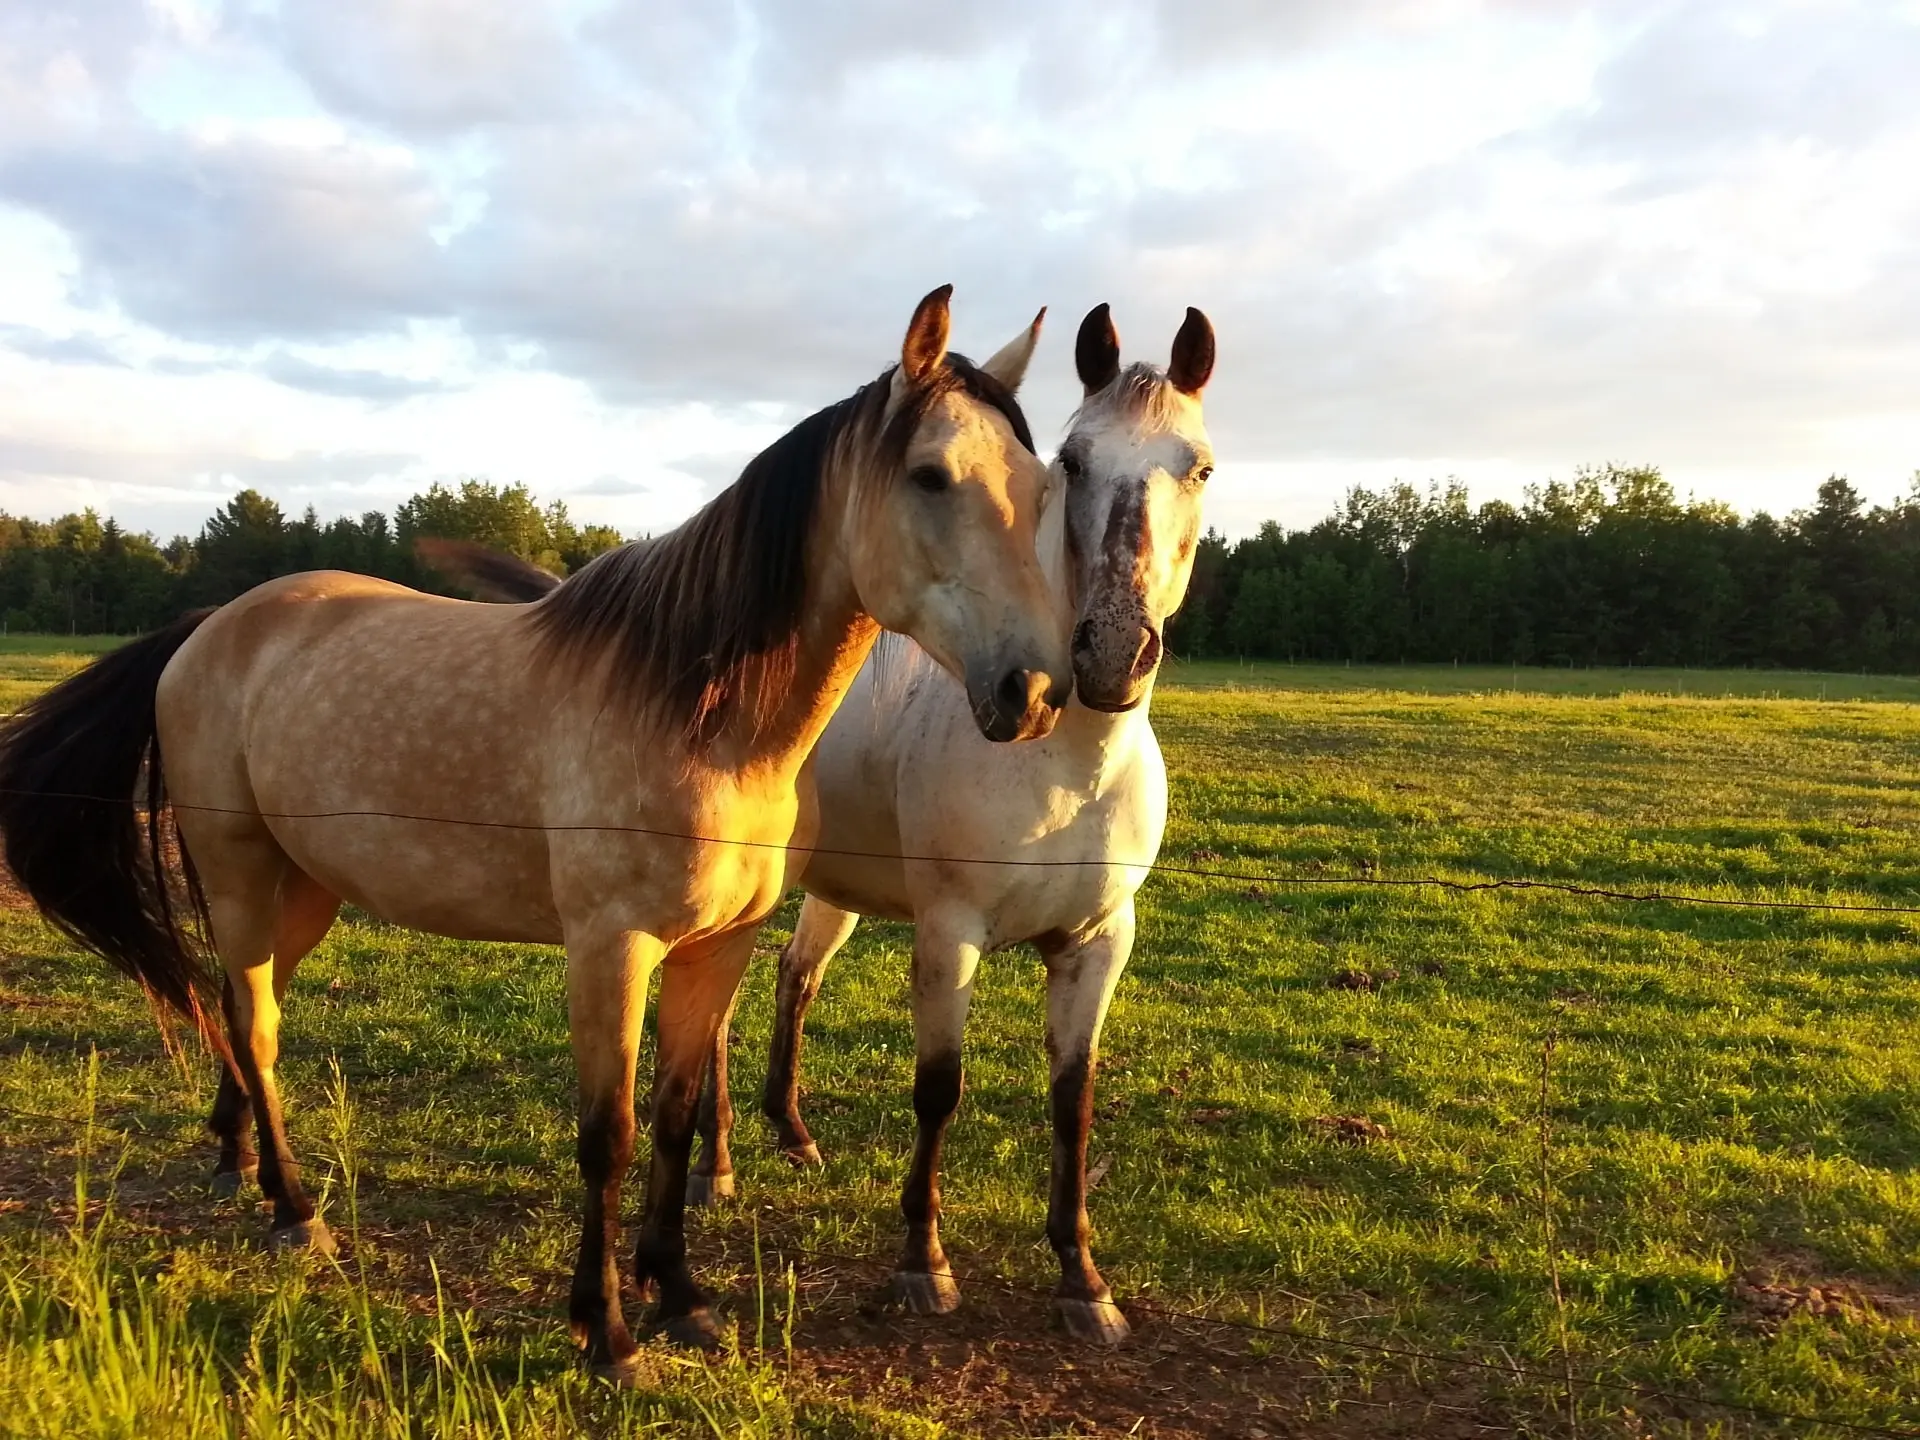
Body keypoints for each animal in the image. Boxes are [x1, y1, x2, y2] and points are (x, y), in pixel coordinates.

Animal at [433, 307, 1213, 1351]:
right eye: (1075, 462)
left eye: (1198, 465)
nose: (1109, 654)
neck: (1066, 772)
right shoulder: (950, 932)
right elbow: (939, 1089)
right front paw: (923, 1265)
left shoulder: (1098, 943)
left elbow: (1072, 1101)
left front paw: (1082, 1279)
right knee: (725, 1021)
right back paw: (720, 1167)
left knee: (791, 982)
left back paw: (788, 1136)